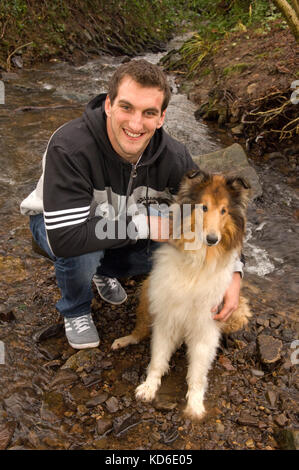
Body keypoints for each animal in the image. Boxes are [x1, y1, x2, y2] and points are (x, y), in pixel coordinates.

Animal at [111, 171, 252, 420]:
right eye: (204, 207)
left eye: (224, 211)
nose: (212, 239)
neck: (199, 262)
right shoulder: (166, 316)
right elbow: (157, 359)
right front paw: (148, 387)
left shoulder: (206, 327)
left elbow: (197, 372)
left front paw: (195, 406)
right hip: (147, 293)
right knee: (140, 331)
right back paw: (124, 340)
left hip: (237, 312)